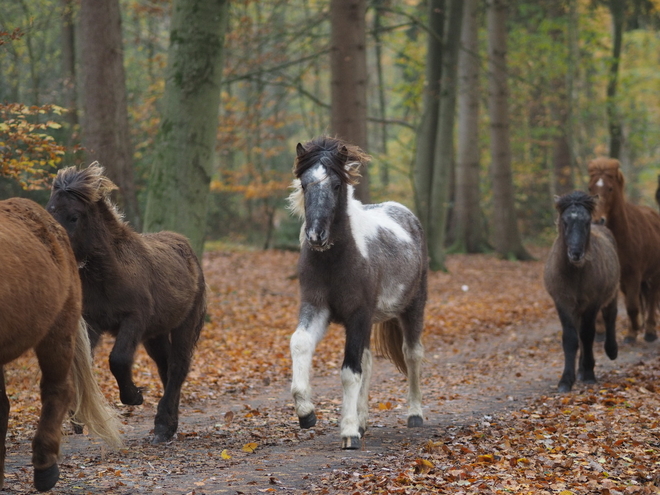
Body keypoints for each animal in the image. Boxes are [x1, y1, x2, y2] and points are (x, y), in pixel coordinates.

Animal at [45, 165, 206, 444]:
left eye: (73, 217)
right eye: (49, 210)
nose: (54, 250)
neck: (111, 273)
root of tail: (186, 246)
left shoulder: (133, 320)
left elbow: (118, 359)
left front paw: (133, 396)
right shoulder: (92, 324)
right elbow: (82, 366)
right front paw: (77, 417)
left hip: (184, 325)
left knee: (178, 367)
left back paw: (162, 426)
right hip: (156, 334)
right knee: (165, 367)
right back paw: (169, 425)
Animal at [288, 138, 428, 452]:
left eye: (337, 184)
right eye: (304, 183)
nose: (316, 235)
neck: (335, 260)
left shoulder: (357, 315)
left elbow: (350, 371)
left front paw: (349, 432)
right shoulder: (316, 308)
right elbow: (300, 343)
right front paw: (307, 413)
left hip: (413, 308)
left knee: (412, 355)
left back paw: (414, 414)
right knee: (369, 361)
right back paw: (363, 421)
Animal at [540, 192, 620, 394]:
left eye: (586, 222)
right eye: (565, 221)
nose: (576, 253)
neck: (575, 274)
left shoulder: (592, 302)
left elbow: (587, 335)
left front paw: (589, 373)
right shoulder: (563, 302)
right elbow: (571, 339)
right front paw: (566, 380)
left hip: (611, 293)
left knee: (609, 316)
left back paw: (610, 351)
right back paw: (581, 370)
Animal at [588, 157, 660, 342]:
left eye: (610, 188)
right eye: (590, 188)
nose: (597, 220)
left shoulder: (634, 275)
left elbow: (632, 305)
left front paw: (636, 329)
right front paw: (629, 332)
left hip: (654, 274)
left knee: (651, 298)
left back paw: (650, 331)